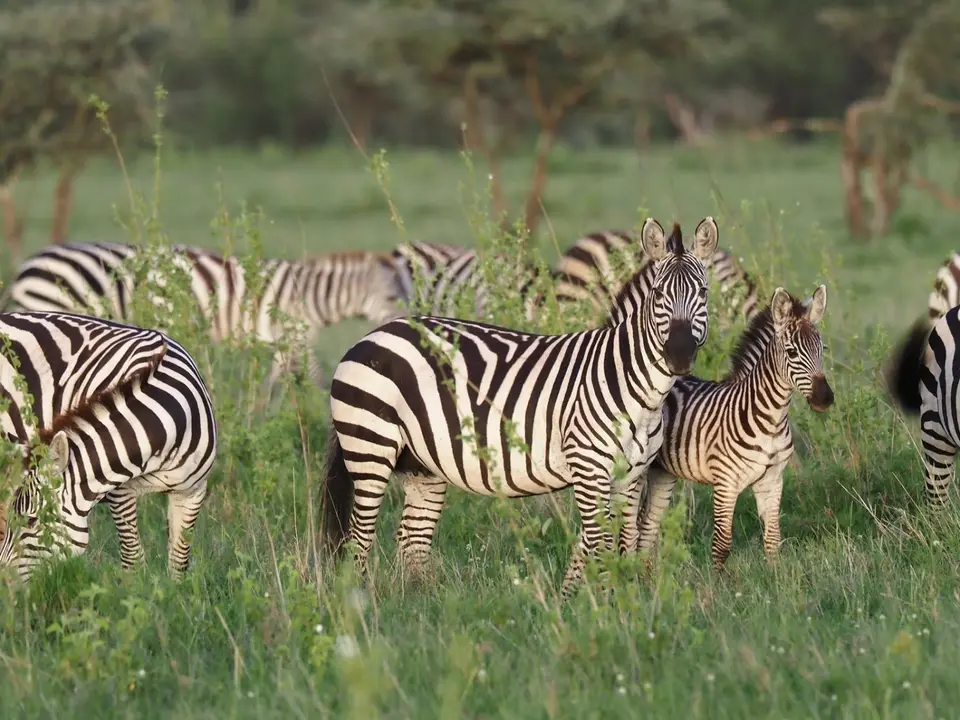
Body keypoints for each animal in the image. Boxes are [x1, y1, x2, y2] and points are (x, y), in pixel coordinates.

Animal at [0, 311, 218, 581]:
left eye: (30, 521)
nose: (5, 583)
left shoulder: (192, 492)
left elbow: (178, 563)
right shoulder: (119, 492)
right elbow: (133, 558)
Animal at [2, 241, 406, 389]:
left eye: (405, 294)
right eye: (391, 296)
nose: (406, 324)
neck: (307, 295)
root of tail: (28, 266)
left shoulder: (281, 345)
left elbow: (275, 387)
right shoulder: (292, 339)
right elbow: (314, 380)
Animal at [321, 217, 720, 598]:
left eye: (703, 292)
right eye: (658, 294)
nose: (679, 355)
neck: (628, 383)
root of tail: (373, 335)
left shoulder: (631, 476)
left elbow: (623, 543)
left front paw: (611, 600)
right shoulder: (589, 470)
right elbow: (601, 545)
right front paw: (606, 607)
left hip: (422, 466)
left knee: (412, 541)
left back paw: (425, 610)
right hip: (370, 447)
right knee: (360, 538)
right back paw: (365, 606)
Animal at [635, 285, 833, 571]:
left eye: (822, 349)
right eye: (792, 352)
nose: (824, 398)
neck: (772, 419)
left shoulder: (772, 481)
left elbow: (773, 540)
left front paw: (777, 579)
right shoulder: (725, 483)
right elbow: (722, 544)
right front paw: (718, 583)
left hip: (663, 472)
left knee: (647, 527)